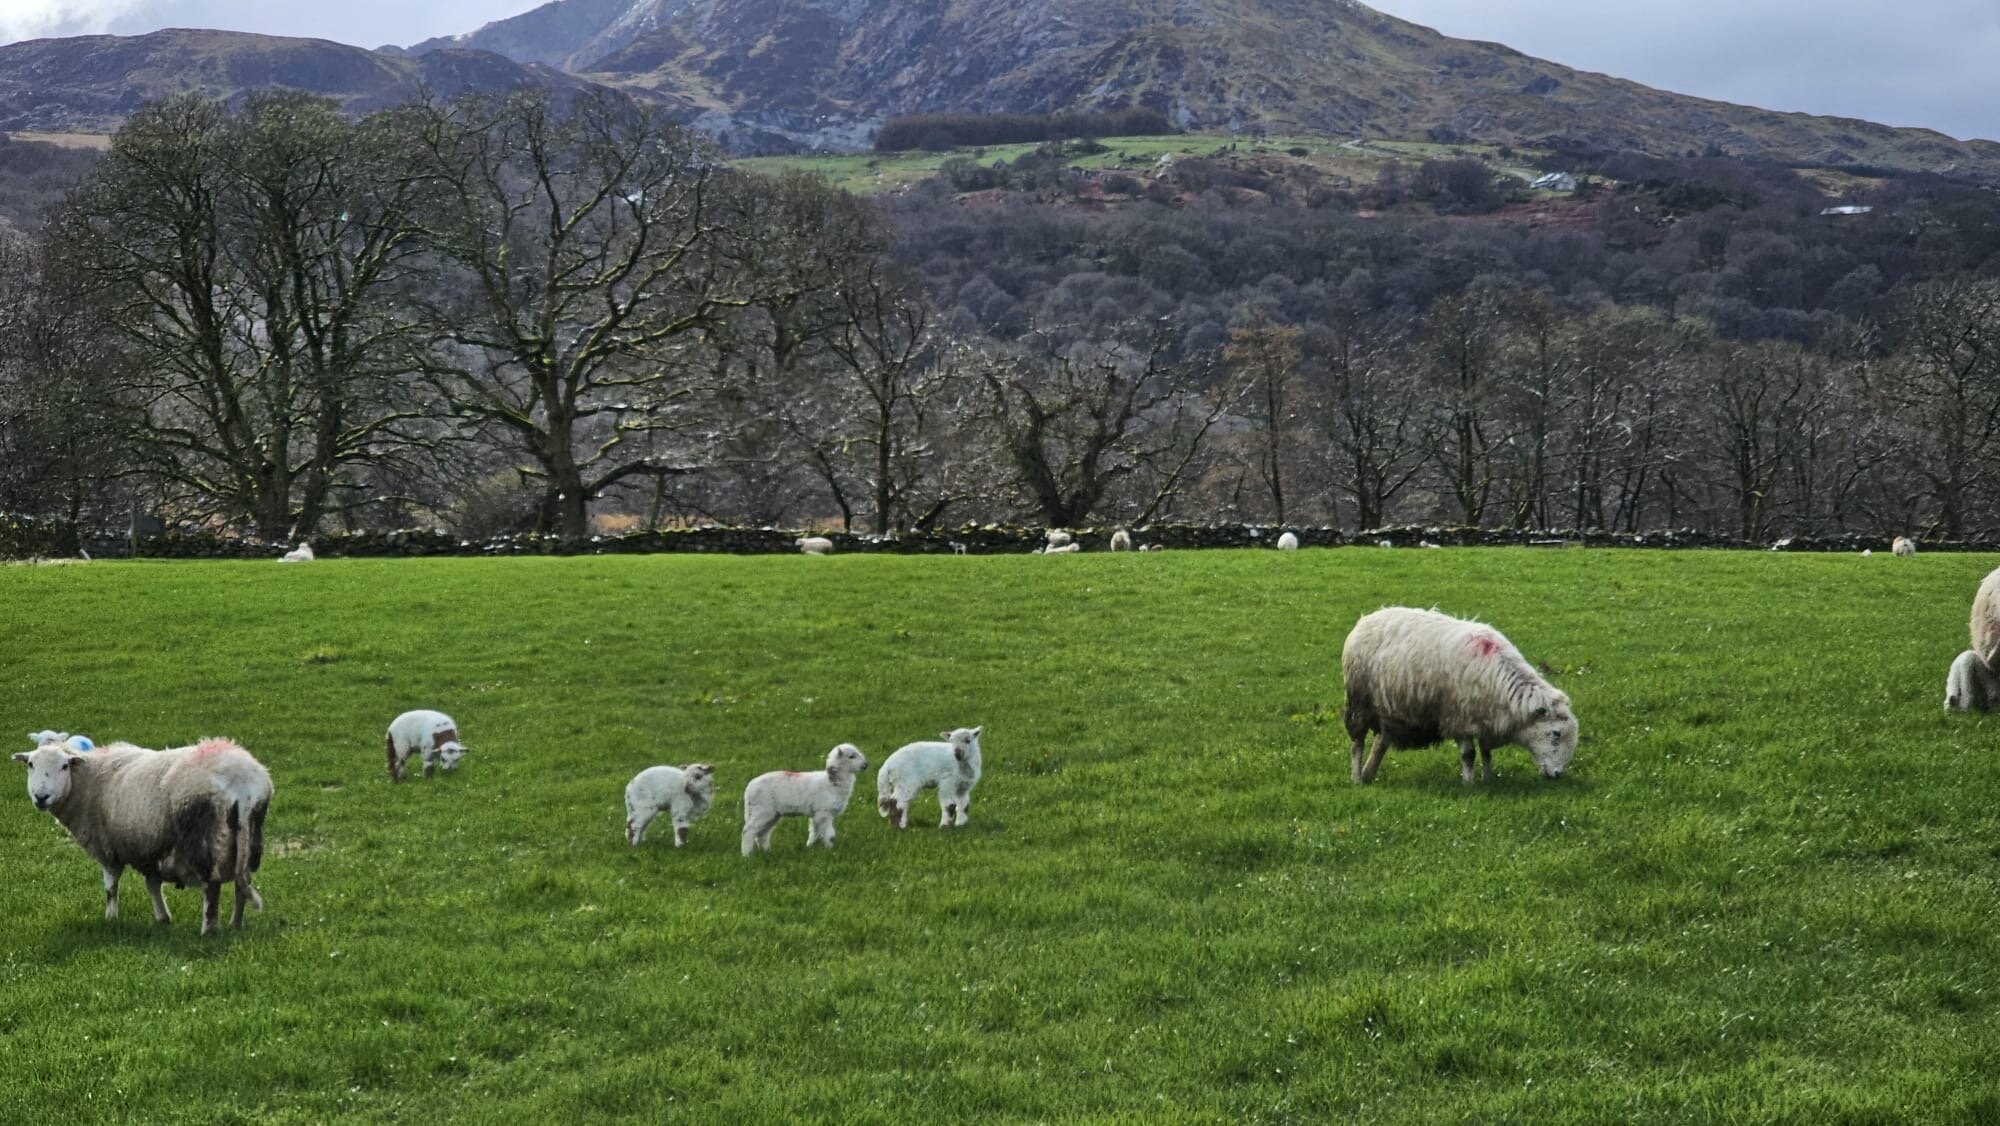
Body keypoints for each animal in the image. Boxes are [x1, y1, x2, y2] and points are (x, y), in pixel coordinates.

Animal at [11, 736, 272, 940]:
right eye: (30, 764)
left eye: (64, 766)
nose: (41, 796)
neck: (86, 783)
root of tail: (243, 784)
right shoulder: (148, 846)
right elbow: (152, 884)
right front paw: (162, 918)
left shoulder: (108, 849)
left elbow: (111, 888)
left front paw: (111, 919)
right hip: (247, 838)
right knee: (241, 883)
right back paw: (235, 925)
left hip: (205, 839)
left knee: (211, 887)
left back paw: (208, 930)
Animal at [1344, 608, 1576, 784]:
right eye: (1556, 733)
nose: (1557, 774)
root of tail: (1366, 619)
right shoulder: (1459, 717)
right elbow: (1469, 754)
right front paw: (1469, 784)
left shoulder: (1486, 718)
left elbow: (1486, 752)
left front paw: (1487, 779)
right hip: (1360, 703)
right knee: (1358, 743)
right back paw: (1357, 778)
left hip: (1390, 710)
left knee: (1380, 742)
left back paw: (1368, 773)